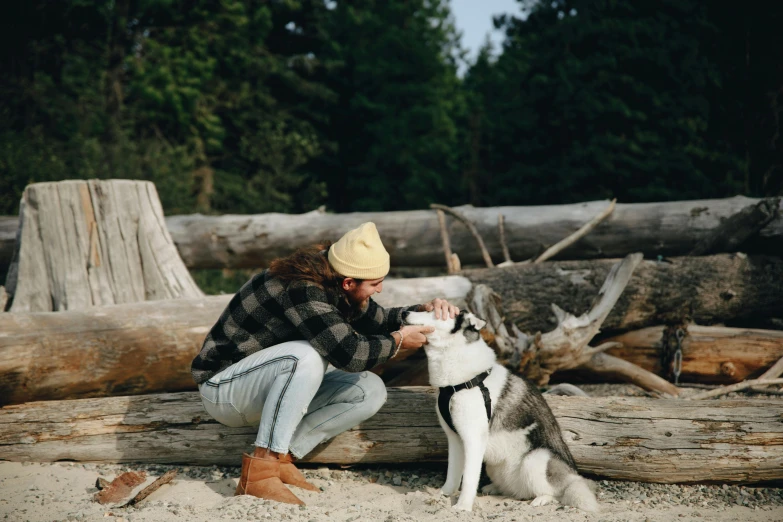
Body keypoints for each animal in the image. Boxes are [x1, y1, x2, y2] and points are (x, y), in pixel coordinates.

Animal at [404, 308, 600, 512]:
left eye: (434, 312)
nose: (404, 312)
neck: (460, 382)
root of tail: (573, 477)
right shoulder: (454, 438)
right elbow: (453, 475)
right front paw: (443, 495)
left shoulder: (474, 440)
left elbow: (469, 479)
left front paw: (463, 506)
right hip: (496, 468)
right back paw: (495, 488)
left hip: (535, 459)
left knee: (556, 493)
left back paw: (542, 499)